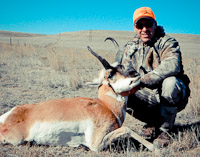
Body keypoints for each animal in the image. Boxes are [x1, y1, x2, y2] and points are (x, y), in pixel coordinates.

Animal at [0, 44, 155, 151]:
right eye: (110, 74)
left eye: (122, 67)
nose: (135, 74)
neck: (106, 105)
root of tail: (6, 117)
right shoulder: (96, 144)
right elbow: (127, 129)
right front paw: (156, 149)